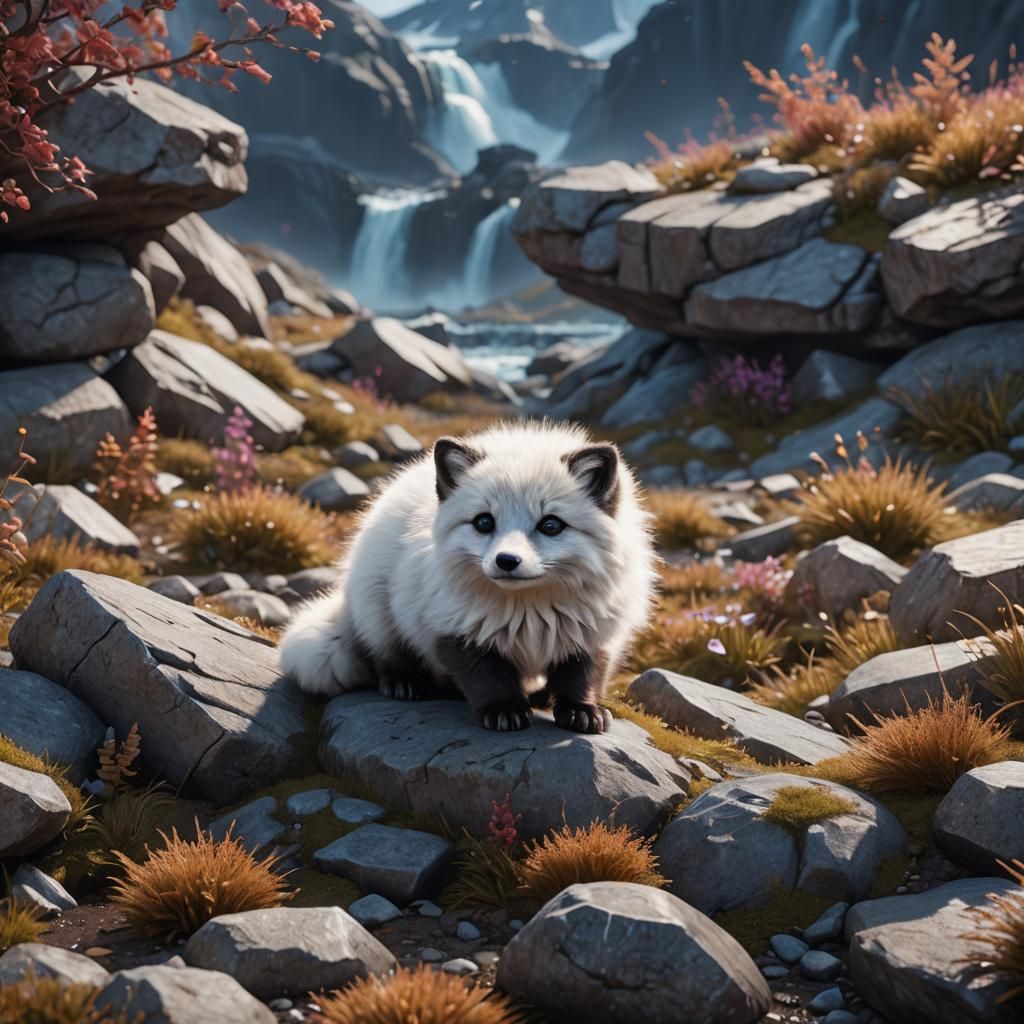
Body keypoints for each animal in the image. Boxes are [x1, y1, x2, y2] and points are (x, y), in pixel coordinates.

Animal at [279, 421, 656, 733]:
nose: (506, 560)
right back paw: (405, 682)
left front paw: (581, 711)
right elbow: (485, 675)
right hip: (379, 611)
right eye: (483, 522)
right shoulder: (453, 629)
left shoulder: (594, 633)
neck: (529, 613)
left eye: (551, 525)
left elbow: (582, 674)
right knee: (384, 655)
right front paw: (504, 710)